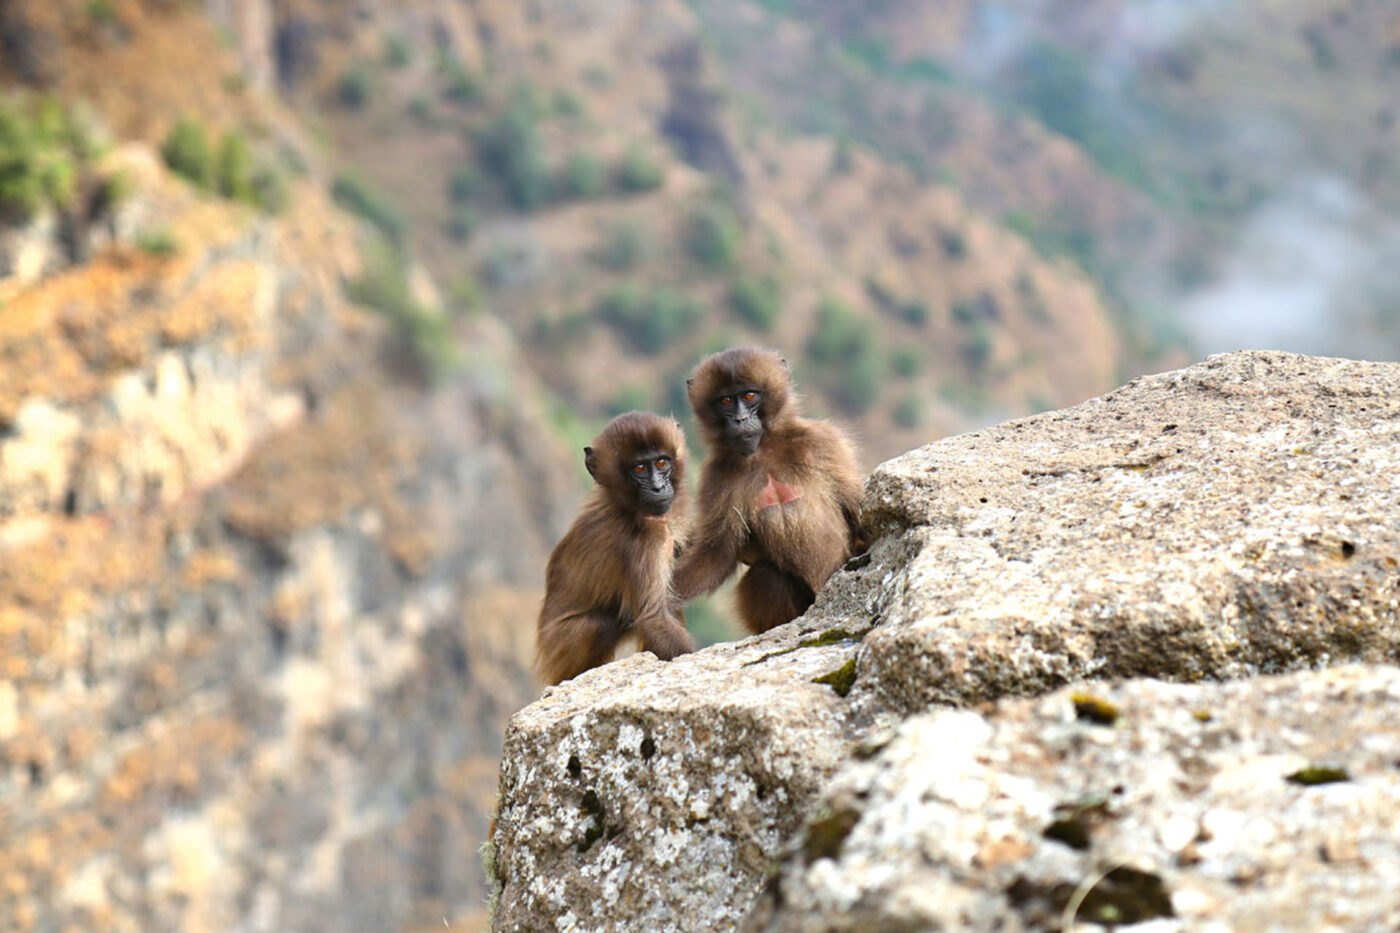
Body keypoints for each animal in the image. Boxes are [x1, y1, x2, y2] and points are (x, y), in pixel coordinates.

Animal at [536, 411, 695, 685]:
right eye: (639, 468)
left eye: (661, 463)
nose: (658, 488)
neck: (628, 509)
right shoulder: (645, 542)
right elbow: (653, 618)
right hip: (558, 647)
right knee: (602, 623)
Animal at [673, 346, 865, 635]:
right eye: (726, 401)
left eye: (749, 396)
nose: (741, 419)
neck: (761, 451)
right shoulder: (716, 477)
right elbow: (717, 554)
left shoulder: (821, 443)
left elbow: (855, 506)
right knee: (765, 575)